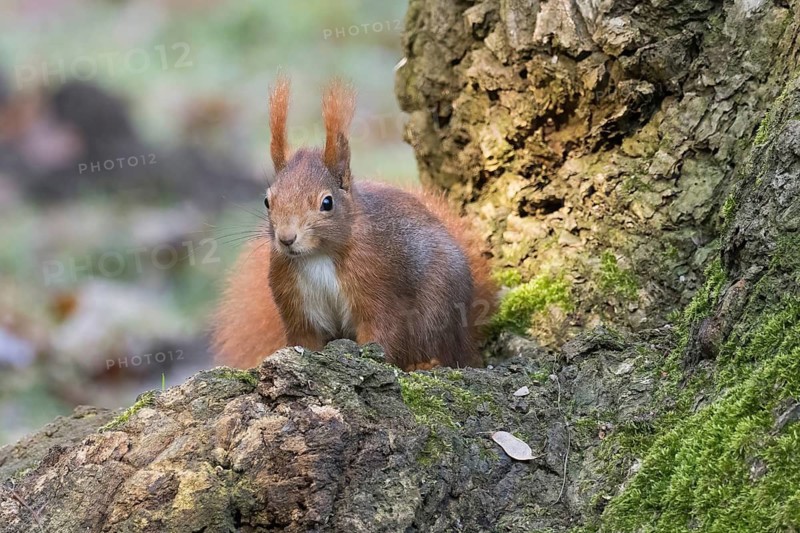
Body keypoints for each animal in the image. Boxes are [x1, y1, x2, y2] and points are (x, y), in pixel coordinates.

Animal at [212, 77, 497, 371]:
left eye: (327, 203)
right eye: (267, 201)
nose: (286, 238)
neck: (318, 256)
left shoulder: (377, 286)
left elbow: (382, 331)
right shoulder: (296, 303)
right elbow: (304, 339)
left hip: (437, 310)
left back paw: (426, 363)